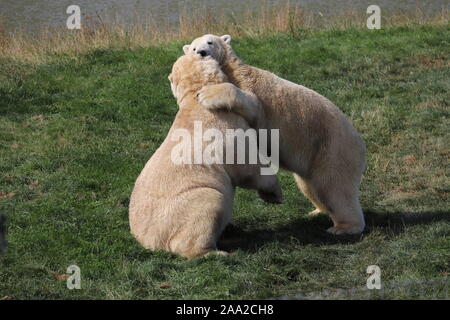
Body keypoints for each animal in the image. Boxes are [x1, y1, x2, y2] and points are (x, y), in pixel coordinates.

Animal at [183, 33, 366, 235]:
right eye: (193, 48)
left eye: (210, 42)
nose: (201, 52)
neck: (233, 70)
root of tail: (360, 144)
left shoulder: (253, 91)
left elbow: (251, 103)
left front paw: (205, 94)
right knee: (310, 186)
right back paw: (317, 210)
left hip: (333, 149)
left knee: (334, 187)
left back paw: (343, 227)